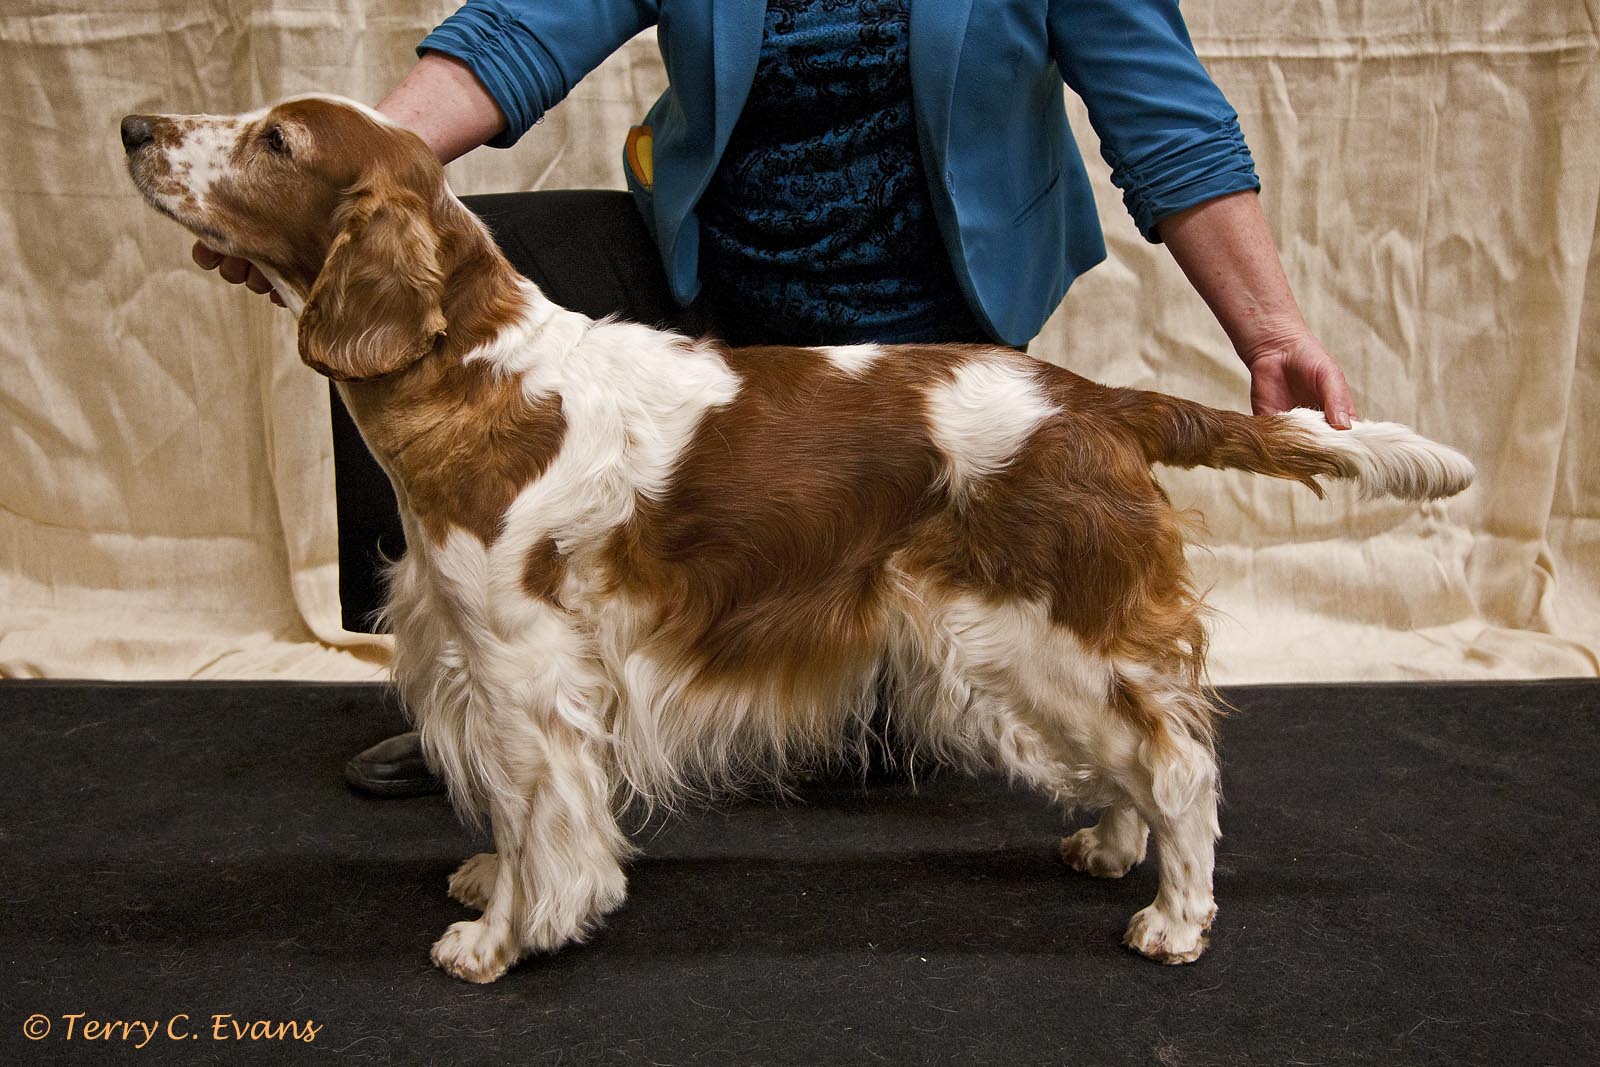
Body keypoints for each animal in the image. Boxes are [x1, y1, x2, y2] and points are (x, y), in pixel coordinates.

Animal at [123, 95, 1473, 983]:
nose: (134, 126)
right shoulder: (478, 655)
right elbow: (509, 813)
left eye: (276, 140)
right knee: (1142, 761)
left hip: (1048, 631)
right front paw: (487, 884)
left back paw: (1175, 919)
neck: (480, 369)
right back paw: (1107, 844)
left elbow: (536, 816)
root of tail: (1095, 400)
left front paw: (497, 934)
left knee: (1180, 762)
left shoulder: (523, 667)